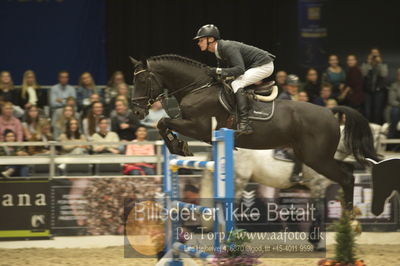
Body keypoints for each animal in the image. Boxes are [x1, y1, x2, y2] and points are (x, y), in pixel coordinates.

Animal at [130, 54, 380, 209]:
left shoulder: (198, 126)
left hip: (316, 158)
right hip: (315, 157)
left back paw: (348, 221)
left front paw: (178, 146)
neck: (198, 87)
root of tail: (329, 111)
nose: (137, 112)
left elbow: (164, 122)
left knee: (346, 177)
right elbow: (165, 124)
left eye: (142, 80)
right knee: (347, 171)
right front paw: (178, 145)